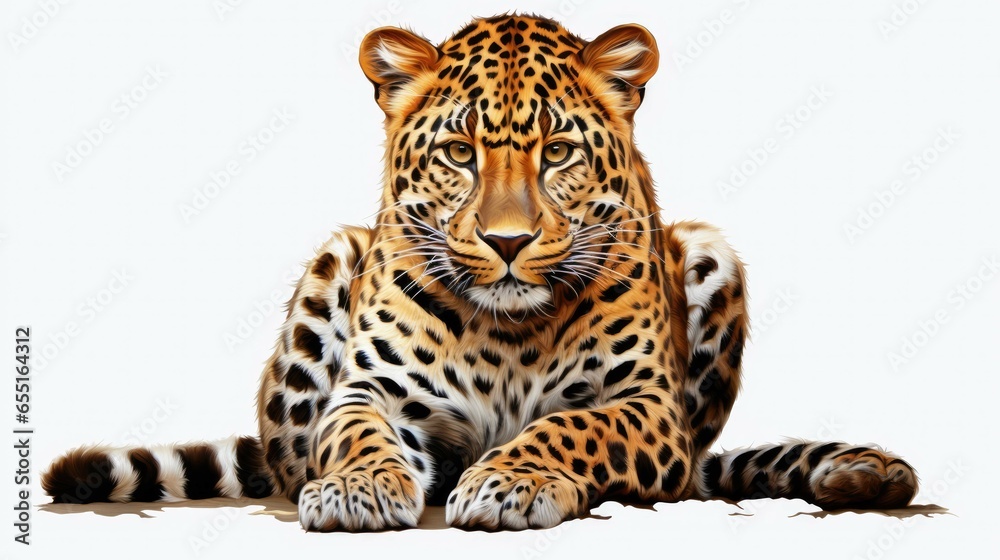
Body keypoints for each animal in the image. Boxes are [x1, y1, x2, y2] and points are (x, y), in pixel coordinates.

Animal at [43, 14, 918, 531]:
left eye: (557, 152)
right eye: (460, 152)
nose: (507, 241)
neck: (509, 330)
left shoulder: (647, 406)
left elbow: (575, 426)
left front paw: (513, 483)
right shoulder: (374, 390)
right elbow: (354, 432)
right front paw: (358, 488)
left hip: (710, 253)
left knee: (688, 480)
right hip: (334, 257)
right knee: (290, 461)